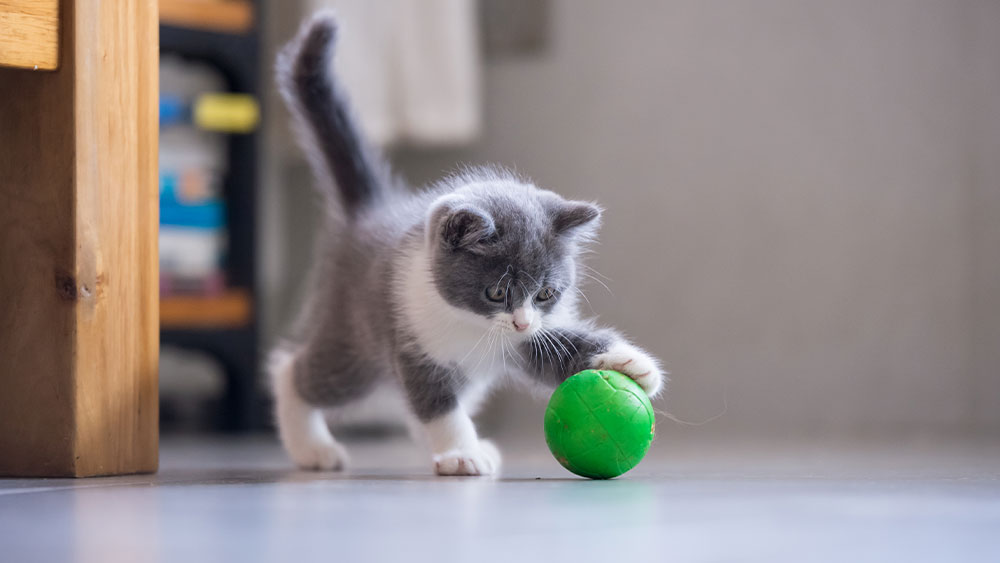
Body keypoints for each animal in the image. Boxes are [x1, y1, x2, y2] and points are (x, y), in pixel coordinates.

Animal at [270, 12, 668, 476]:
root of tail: (372, 211)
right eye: (496, 292)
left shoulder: (531, 341)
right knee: (296, 370)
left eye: (546, 293)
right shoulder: (413, 339)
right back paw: (311, 446)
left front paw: (631, 363)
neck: (473, 326)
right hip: (354, 339)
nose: (521, 322)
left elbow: (560, 350)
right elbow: (437, 402)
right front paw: (461, 451)